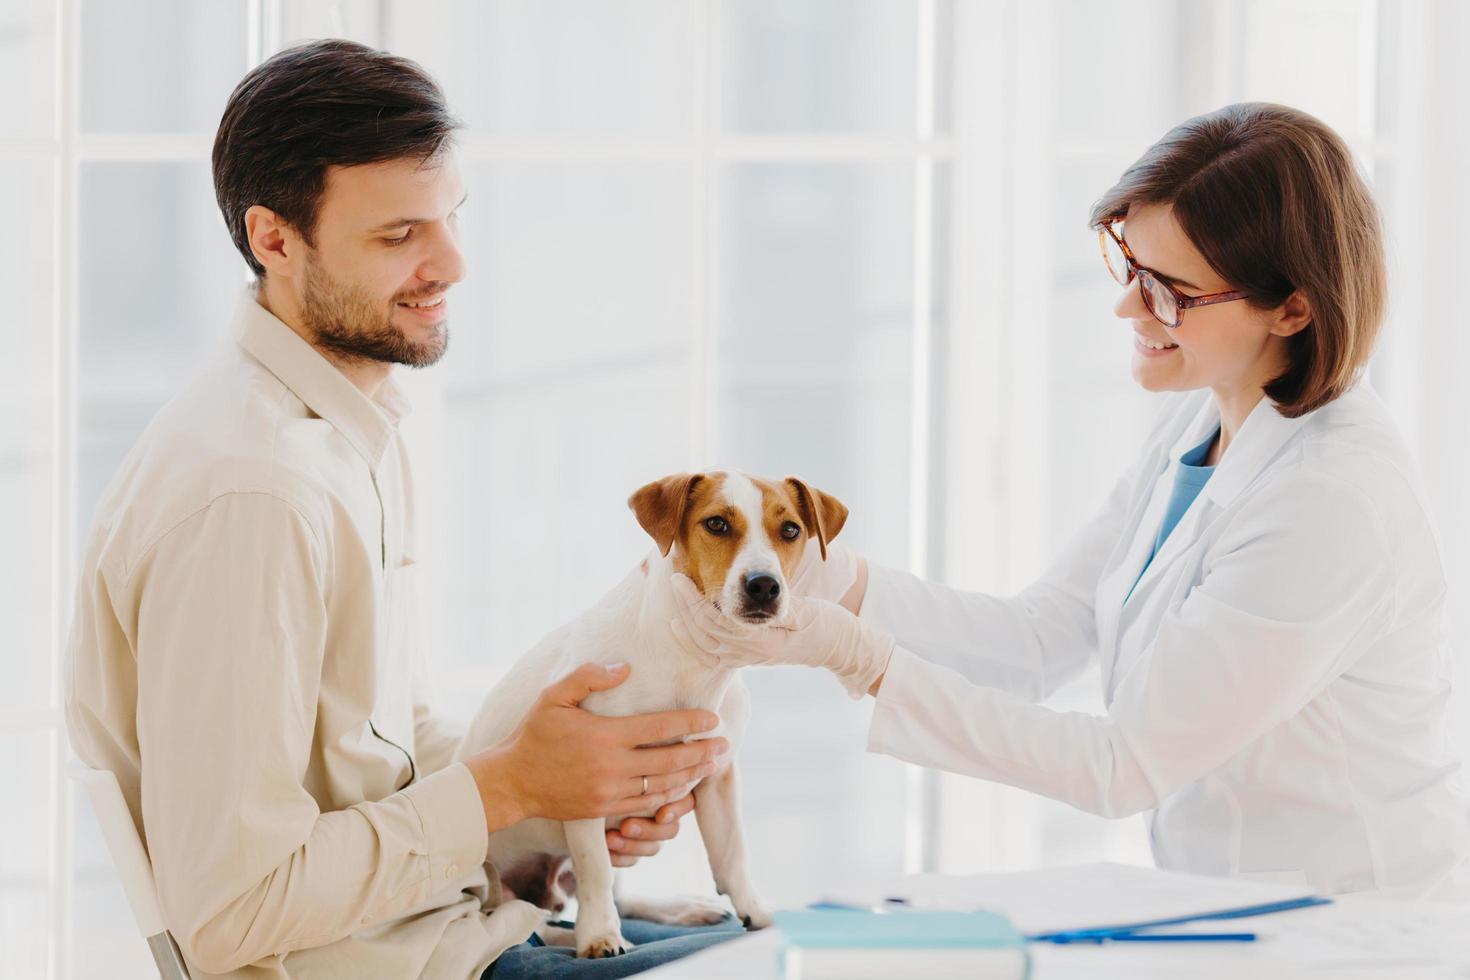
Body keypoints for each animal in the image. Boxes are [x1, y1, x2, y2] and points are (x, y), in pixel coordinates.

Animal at [458, 470, 852, 963]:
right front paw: (599, 936)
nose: (764, 585)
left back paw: (682, 909)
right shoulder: (585, 784)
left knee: (615, 900)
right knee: (534, 926)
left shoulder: (719, 775)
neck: (688, 660)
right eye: (717, 523)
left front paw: (757, 911)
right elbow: (595, 871)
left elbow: (732, 853)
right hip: (494, 889)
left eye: (791, 530)